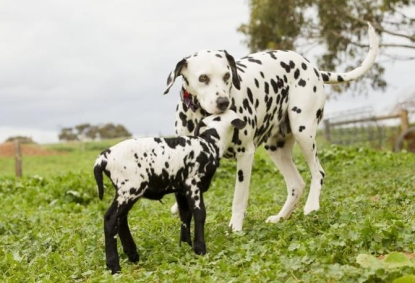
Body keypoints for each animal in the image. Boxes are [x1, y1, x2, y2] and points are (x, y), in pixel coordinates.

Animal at [163, 23, 380, 232]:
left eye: (226, 76)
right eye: (203, 78)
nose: (223, 102)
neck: (204, 115)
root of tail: (313, 68)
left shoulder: (245, 155)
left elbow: (238, 198)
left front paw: (235, 226)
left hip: (303, 131)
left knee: (318, 172)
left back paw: (311, 206)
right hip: (276, 148)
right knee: (296, 185)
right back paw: (280, 217)